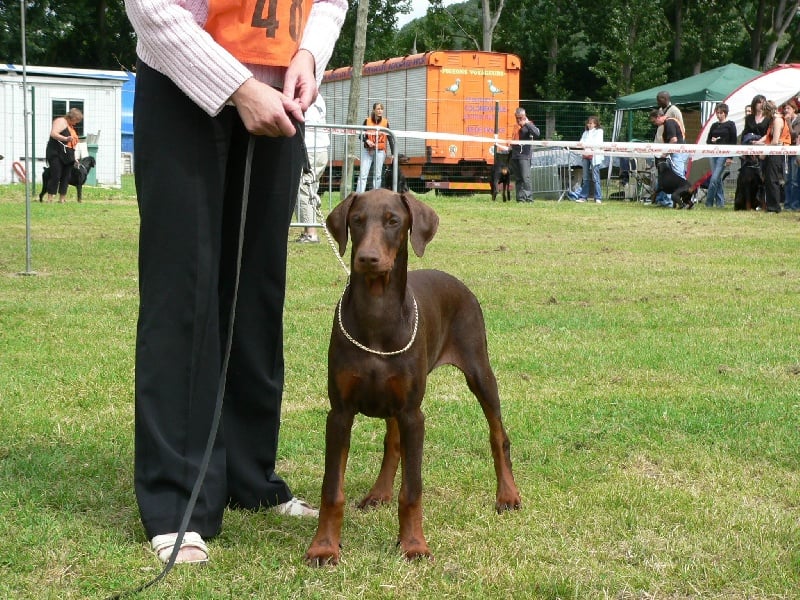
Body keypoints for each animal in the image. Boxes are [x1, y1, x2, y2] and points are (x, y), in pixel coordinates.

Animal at [304, 189, 520, 568]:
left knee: (498, 435)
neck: (377, 314)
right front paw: (324, 547)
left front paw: (414, 544)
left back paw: (507, 495)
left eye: (393, 221)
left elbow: (413, 489)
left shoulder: (412, 415)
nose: (367, 258)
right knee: (392, 443)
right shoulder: (340, 413)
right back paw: (378, 493)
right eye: (356, 220)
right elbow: (332, 489)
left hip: (479, 371)